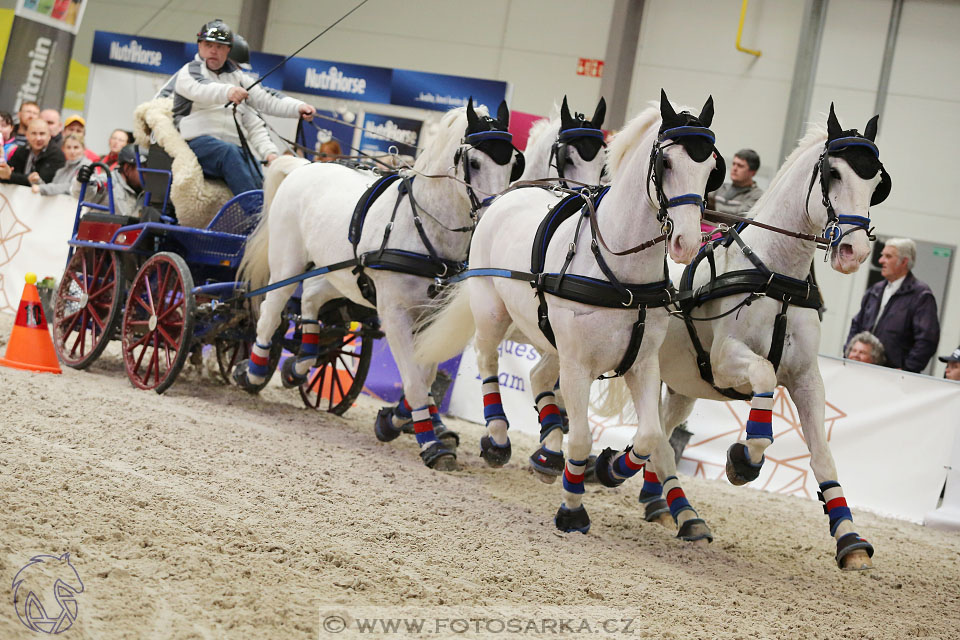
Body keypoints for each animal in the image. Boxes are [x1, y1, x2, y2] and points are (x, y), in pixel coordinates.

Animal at [234, 101, 516, 470]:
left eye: (513, 163)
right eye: (475, 162)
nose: (494, 215)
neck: (421, 227)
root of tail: (304, 165)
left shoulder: (430, 317)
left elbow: (425, 374)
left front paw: (394, 421)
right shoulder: (394, 314)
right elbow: (413, 379)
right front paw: (431, 444)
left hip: (341, 275)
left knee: (311, 298)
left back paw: (301, 362)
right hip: (287, 263)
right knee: (271, 311)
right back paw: (253, 371)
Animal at [416, 89, 724, 528]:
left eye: (711, 167)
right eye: (666, 163)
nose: (687, 242)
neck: (619, 272)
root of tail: (506, 197)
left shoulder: (643, 363)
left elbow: (649, 436)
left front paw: (609, 468)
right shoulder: (578, 364)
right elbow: (581, 437)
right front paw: (573, 508)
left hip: (548, 336)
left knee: (537, 375)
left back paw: (548, 451)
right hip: (492, 311)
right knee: (488, 360)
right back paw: (498, 439)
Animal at [608, 106, 892, 568]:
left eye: (876, 182)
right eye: (832, 172)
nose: (855, 253)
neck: (776, 277)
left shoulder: (806, 378)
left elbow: (823, 455)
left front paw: (849, 538)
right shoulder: (726, 359)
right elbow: (763, 381)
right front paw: (743, 460)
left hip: (681, 384)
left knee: (662, 437)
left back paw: (672, 509)